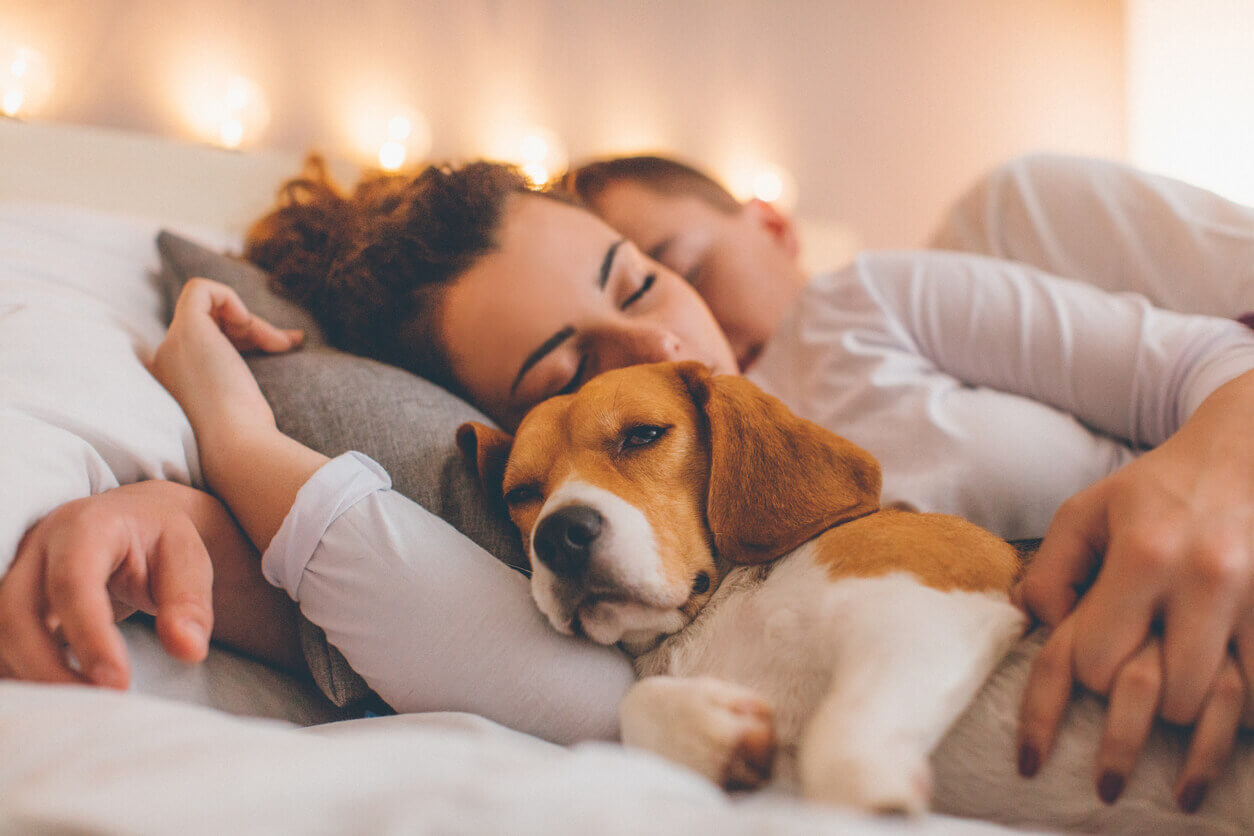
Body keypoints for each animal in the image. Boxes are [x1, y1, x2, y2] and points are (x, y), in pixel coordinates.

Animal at [461, 360, 1028, 817]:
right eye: (521, 493)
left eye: (643, 434)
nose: (558, 537)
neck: (717, 611)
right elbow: (637, 702)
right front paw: (716, 733)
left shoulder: (936, 595)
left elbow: (839, 745)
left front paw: (871, 802)